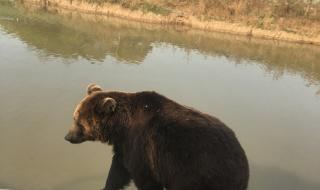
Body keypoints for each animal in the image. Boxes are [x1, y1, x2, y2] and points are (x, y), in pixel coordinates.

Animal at [65, 84, 250, 189]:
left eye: (78, 122)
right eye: (74, 117)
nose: (67, 136)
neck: (120, 128)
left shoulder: (144, 149)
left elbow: (145, 179)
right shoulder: (124, 146)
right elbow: (118, 171)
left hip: (202, 174)